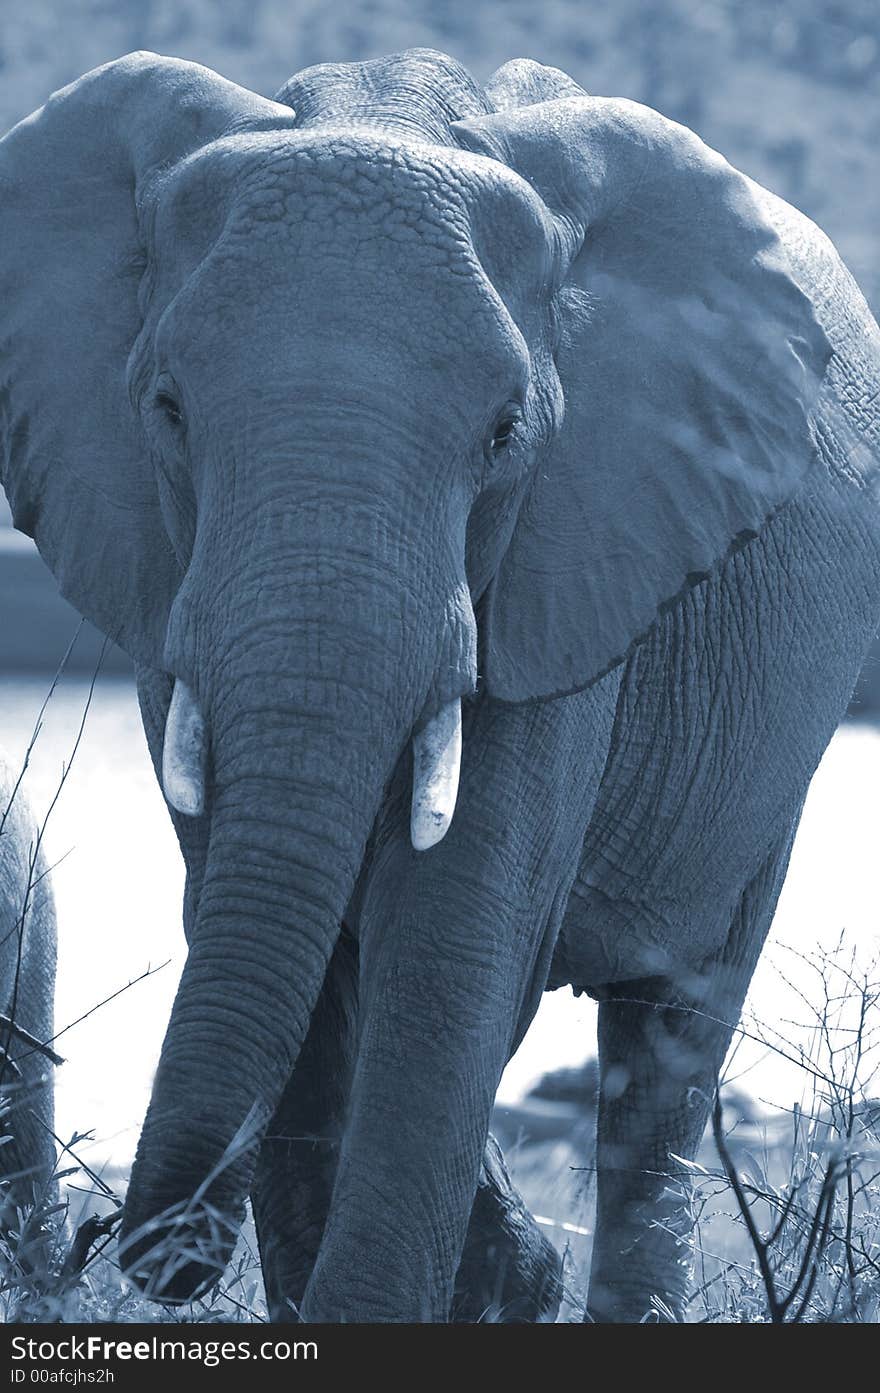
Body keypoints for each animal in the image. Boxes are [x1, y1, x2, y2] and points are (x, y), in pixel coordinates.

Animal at [1, 43, 880, 1320]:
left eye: (506, 432)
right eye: (165, 409)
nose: (148, 1245)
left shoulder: (574, 549)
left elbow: (448, 948)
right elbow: (281, 935)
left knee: (669, 1039)